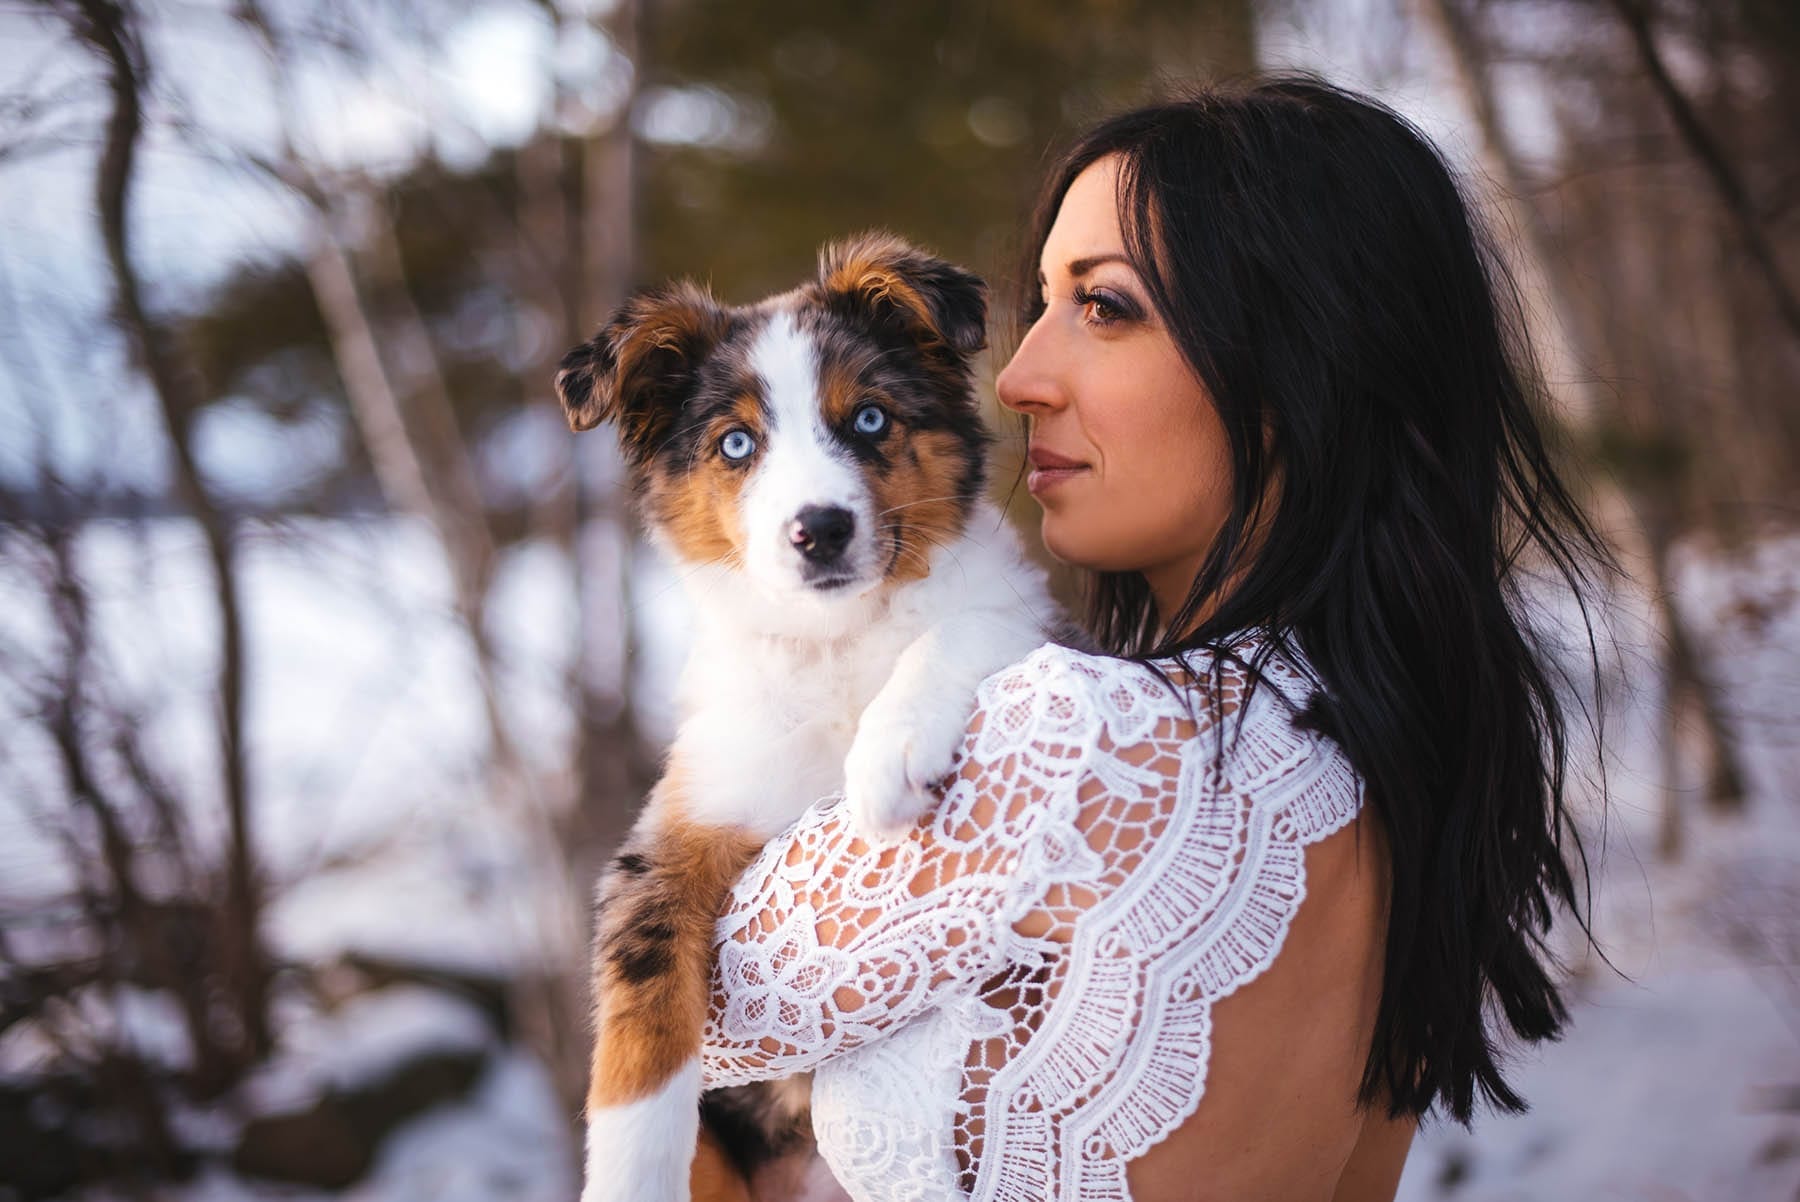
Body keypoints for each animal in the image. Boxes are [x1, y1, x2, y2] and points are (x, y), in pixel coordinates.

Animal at [554, 233, 1051, 1202]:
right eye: (736, 443)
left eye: (870, 420)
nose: (818, 530)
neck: (833, 643)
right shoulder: (672, 839)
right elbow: (638, 1023)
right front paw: (630, 1178)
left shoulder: (1034, 625)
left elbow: (964, 623)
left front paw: (888, 756)